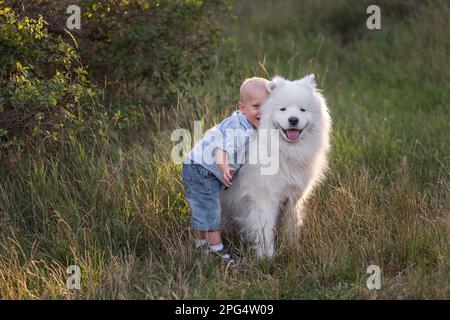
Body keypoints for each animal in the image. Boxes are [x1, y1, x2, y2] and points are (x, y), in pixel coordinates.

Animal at [221, 75, 330, 260]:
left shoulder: (293, 198)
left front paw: (292, 249)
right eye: (283, 109)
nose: (293, 120)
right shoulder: (264, 198)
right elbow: (265, 230)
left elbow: (291, 226)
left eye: (302, 110)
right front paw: (267, 257)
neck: (285, 151)